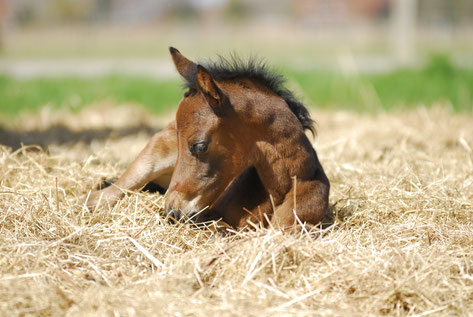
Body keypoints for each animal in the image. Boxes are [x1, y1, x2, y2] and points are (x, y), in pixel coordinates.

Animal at [85, 47, 328, 227]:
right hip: (148, 162)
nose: (173, 211)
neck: (281, 190)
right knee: (102, 196)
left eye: (200, 146)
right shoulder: (208, 218)